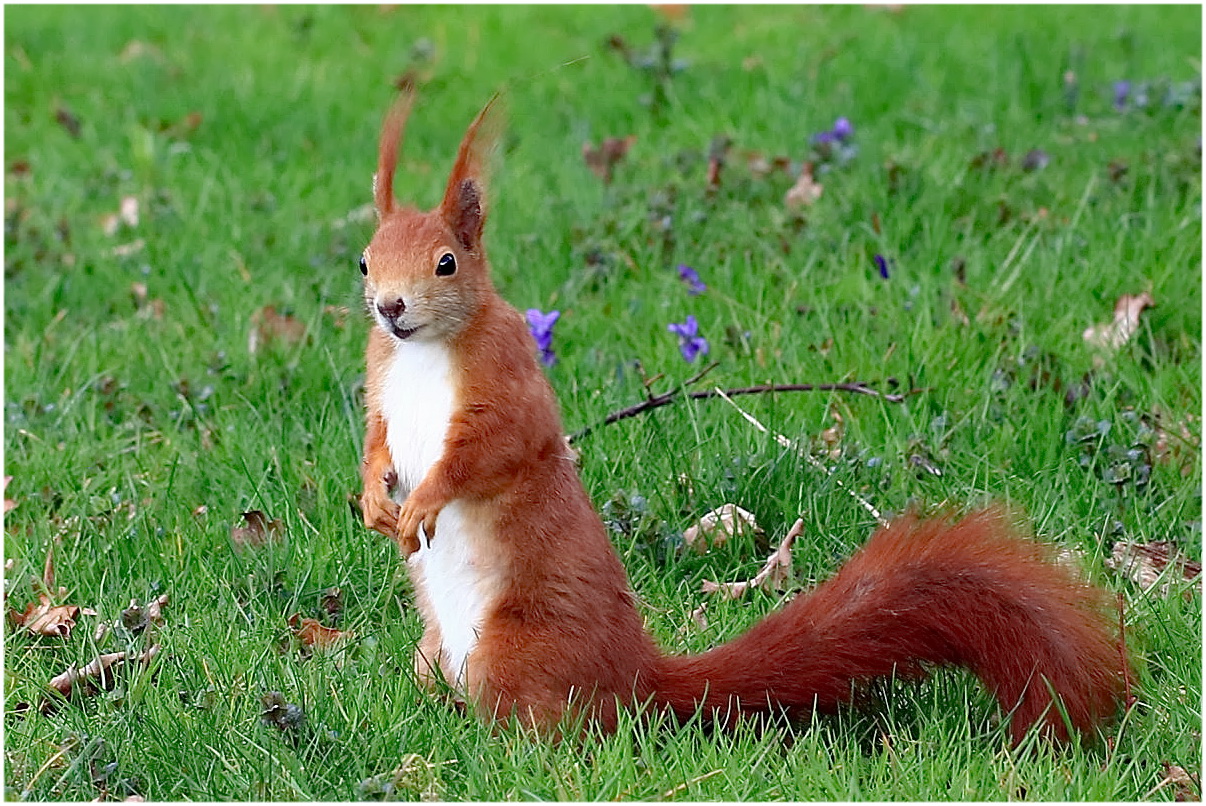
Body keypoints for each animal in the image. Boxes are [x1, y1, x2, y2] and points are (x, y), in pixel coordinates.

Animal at [356, 89, 1128, 743]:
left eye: (447, 263)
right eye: (365, 263)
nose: (390, 308)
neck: (423, 353)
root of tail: (637, 681)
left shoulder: (507, 383)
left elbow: (487, 451)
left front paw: (423, 500)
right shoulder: (381, 382)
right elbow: (376, 440)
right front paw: (373, 498)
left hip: (514, 652)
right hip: (435, 650)